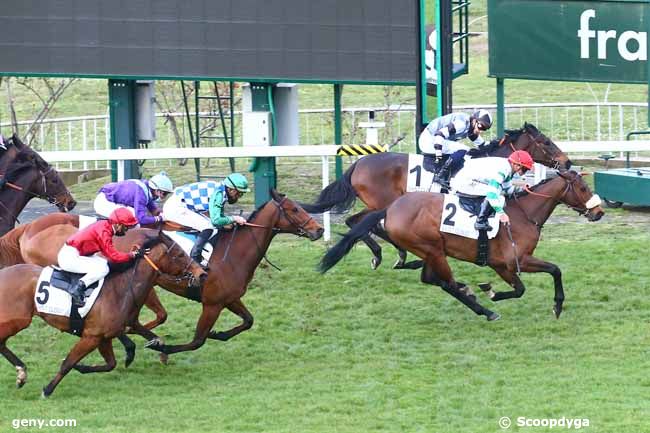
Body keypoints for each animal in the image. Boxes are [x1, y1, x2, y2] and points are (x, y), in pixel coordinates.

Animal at [0, 230, 205, 394]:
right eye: (179, 254)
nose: (202, 273)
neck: (120, 289)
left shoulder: (104, 337)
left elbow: (110, 363)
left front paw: (82, 367)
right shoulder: (91, 336)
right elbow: (68, 363)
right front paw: (48, 390)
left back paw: (21, 373)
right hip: (17, 320)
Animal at [144, 189, 322, 354]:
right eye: (294, 209)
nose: (319, 230)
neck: (232, 255)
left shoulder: (230, 299)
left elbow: (249, 320)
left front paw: (217, 334)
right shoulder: (212, 304)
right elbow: (197, 341)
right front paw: (163, 349)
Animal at [302, 123, 568, 268]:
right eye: (546, 142)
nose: (567, 162)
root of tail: (359, 163)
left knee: (358, 221)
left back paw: (392, 253)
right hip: (382, 201)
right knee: (359, 221)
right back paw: (389, 253)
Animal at [318, 172, 604, 320]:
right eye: (582, 187)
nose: (599, 212)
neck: (524, 214)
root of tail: (391, 208)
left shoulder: (506, 264)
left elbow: (529, 284)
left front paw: (490, 290)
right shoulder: (513, 261)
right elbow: (547, 274)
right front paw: (556, 305)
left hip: (431, 251)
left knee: (431, 279)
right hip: (433, 249)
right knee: (443, 282)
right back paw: (484, 309)